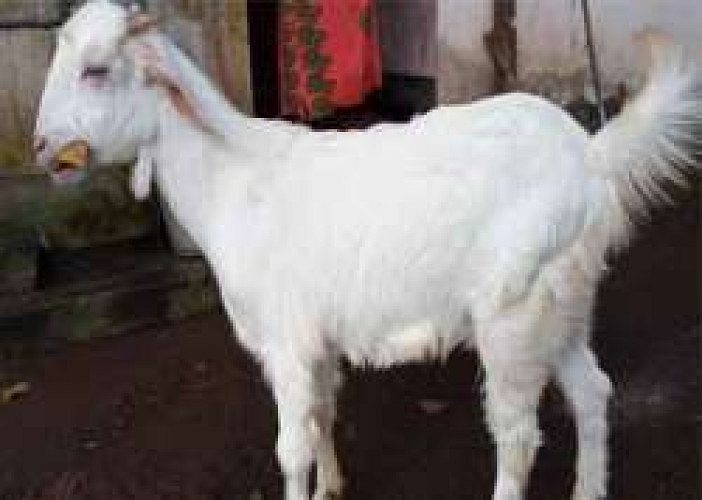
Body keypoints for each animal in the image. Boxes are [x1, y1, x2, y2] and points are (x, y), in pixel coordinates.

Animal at [34, 2, 699, 499]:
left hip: (514, 314)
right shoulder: (318, 342)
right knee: (593, 391)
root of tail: (590, 156)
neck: (234, 183)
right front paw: (331, 485)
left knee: (516, 438)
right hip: (561, 305)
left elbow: (290, 450)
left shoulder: (287, 342)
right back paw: (589, 489)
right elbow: (323, 416)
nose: (41, 147)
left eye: (96, 69)